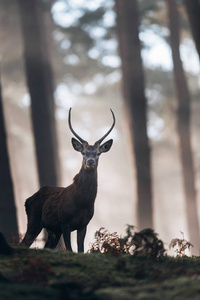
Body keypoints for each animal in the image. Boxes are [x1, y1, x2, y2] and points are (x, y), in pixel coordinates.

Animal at [20, 109, 115, 252]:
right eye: (83, 152)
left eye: (98, 153)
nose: (90, 161)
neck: (82, 203)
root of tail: (27, 200)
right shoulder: (64, 223)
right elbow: (70, 249)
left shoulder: (83, 224)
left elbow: (81, 250)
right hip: (33, 221)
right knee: (24, 243)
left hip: (53, 230)